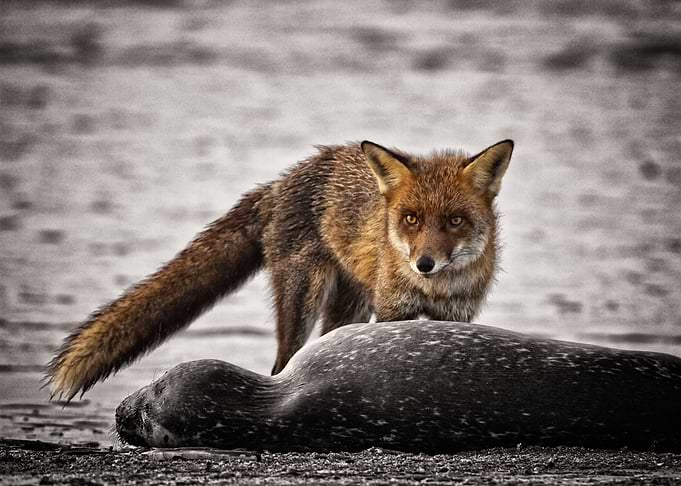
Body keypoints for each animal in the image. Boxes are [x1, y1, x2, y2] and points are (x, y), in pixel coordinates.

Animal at [45, 139, 514, 401]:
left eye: (455, 221)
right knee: (281, 367)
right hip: (304, 300)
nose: (424, 263)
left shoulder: (457, 318)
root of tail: (280, 182)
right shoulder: (392, 311)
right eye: (411, 219)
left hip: (346, 307)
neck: (435, 290)